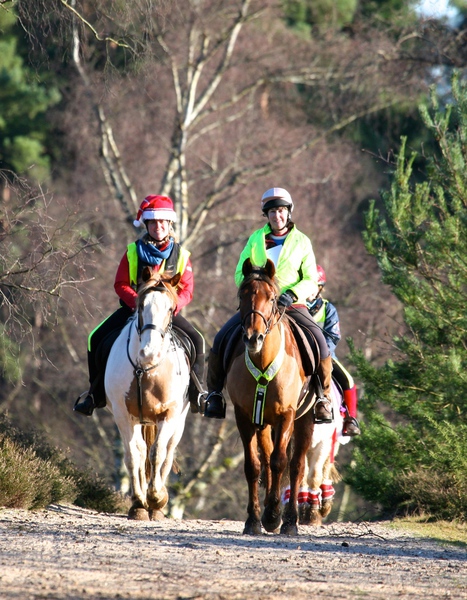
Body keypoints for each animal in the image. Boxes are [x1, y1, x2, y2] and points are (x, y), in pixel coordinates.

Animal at [104, 266, 190, 520]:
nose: (149, 353)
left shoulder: (169, 415)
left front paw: (156, 498)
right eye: (141, 306)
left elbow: (158, 453)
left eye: (170, 309)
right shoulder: (124, 415)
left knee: (167, 452)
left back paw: (159, 505)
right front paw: (139, 501)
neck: (147, 370)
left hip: (179, 421)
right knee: (139, 451)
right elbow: (135, 455)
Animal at [226, 258, 318, 536]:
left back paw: (289, 521)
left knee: (296, 465)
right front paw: (255, 519)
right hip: (264, 424)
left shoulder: (286, 415)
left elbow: (280, 462)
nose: (252, 337)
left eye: (273, 297)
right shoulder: (244, 416)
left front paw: (275, 515)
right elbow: (253, 466)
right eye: (242, 295)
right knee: (266, 461)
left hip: (304, 420)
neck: (263, 360)